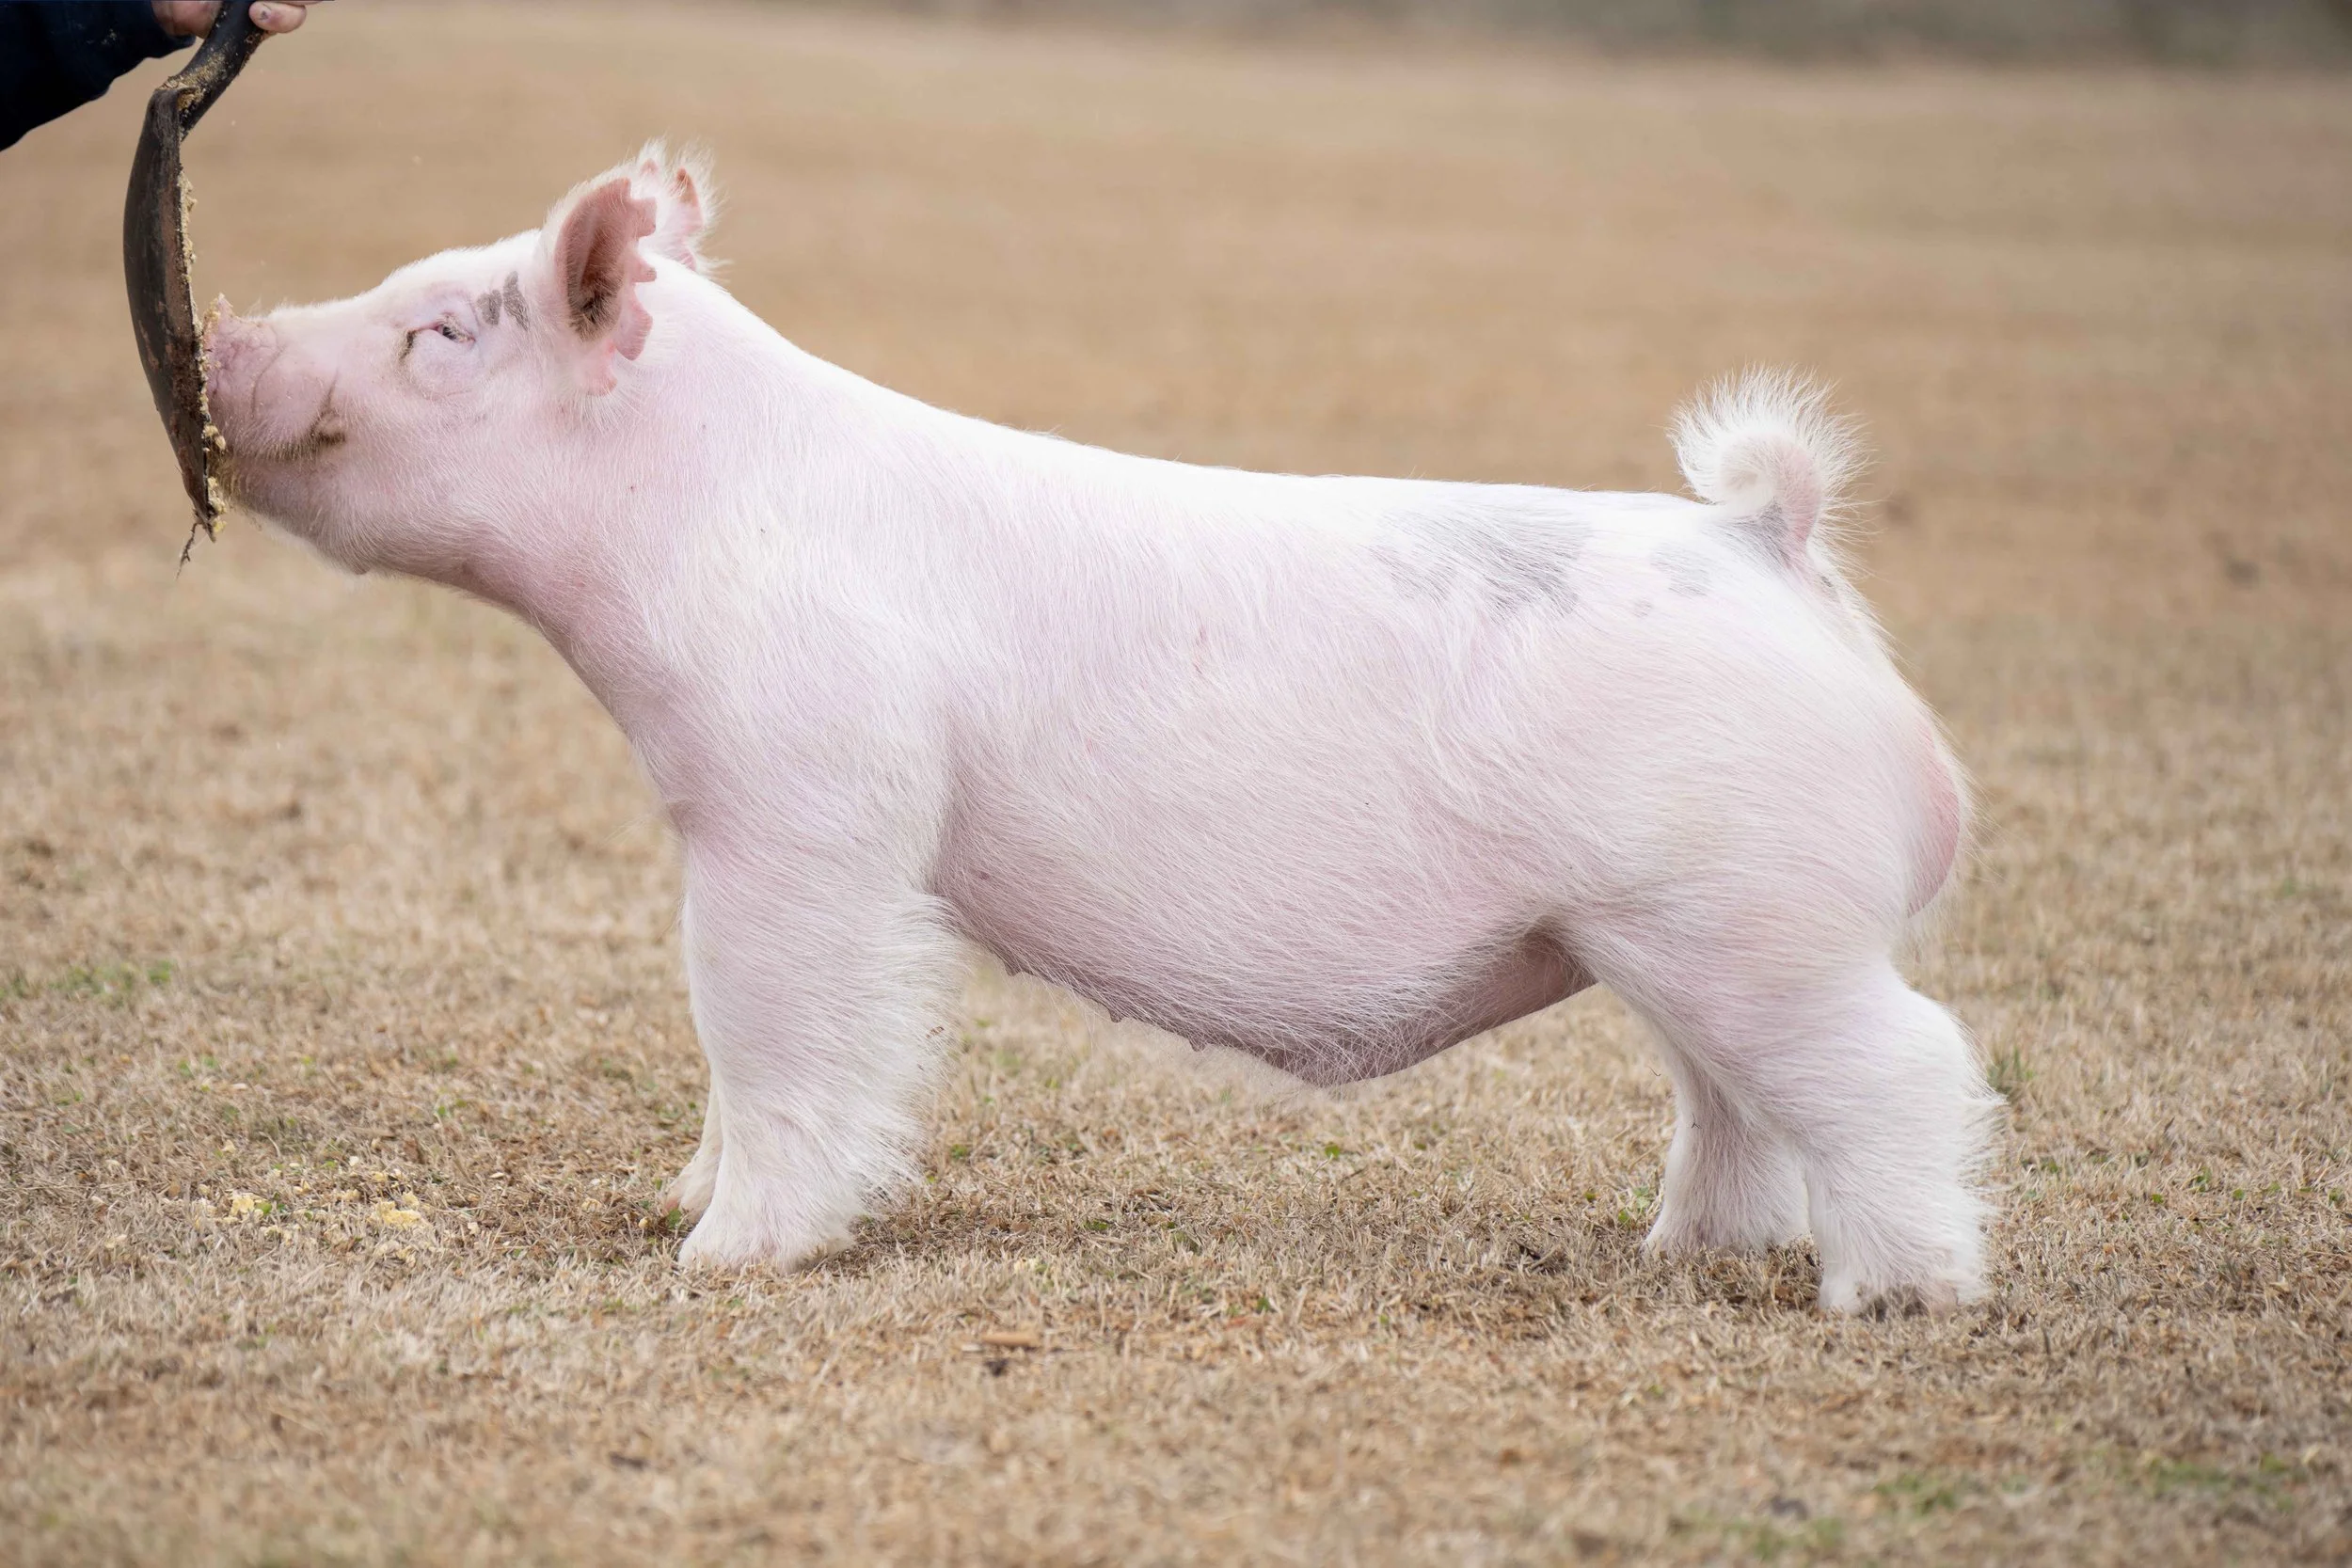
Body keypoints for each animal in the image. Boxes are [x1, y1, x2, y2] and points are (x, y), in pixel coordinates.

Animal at [203, 144, 1994, 1315]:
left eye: (446, 329)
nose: (224, 334)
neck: (684, 516)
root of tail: (1769, 542)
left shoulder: (800, 809)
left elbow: (767, 1023)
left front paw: (720, 1258)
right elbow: (730, 1052)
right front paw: (674, 1205)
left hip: (1754, 919)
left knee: (1907, 1066)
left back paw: (1888, 1297)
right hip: (1678, 939)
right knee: (1734, 1101)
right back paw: (1683, 1256)